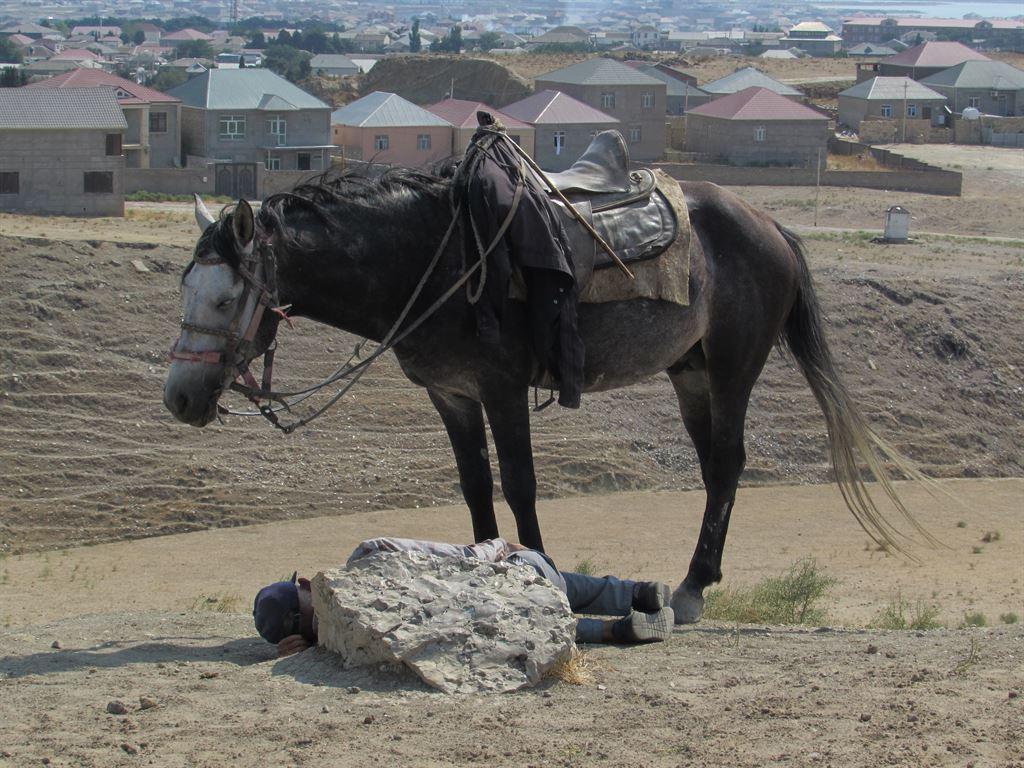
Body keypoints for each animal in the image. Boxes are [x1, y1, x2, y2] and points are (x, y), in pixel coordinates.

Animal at [163, 163, 924, 624]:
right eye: (185, 288)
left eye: (226, 296)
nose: (179, 400)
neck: (433, 258)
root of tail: (771, 228)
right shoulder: (452, 396)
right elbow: (476, 487)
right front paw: (479, 570)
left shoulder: (501, 388)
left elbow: (522, 483)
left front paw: (540, 575)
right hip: (691, 372)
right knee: (715, 467)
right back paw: (696, 579)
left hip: (734, 368)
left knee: (730, 464)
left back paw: (693, 586)